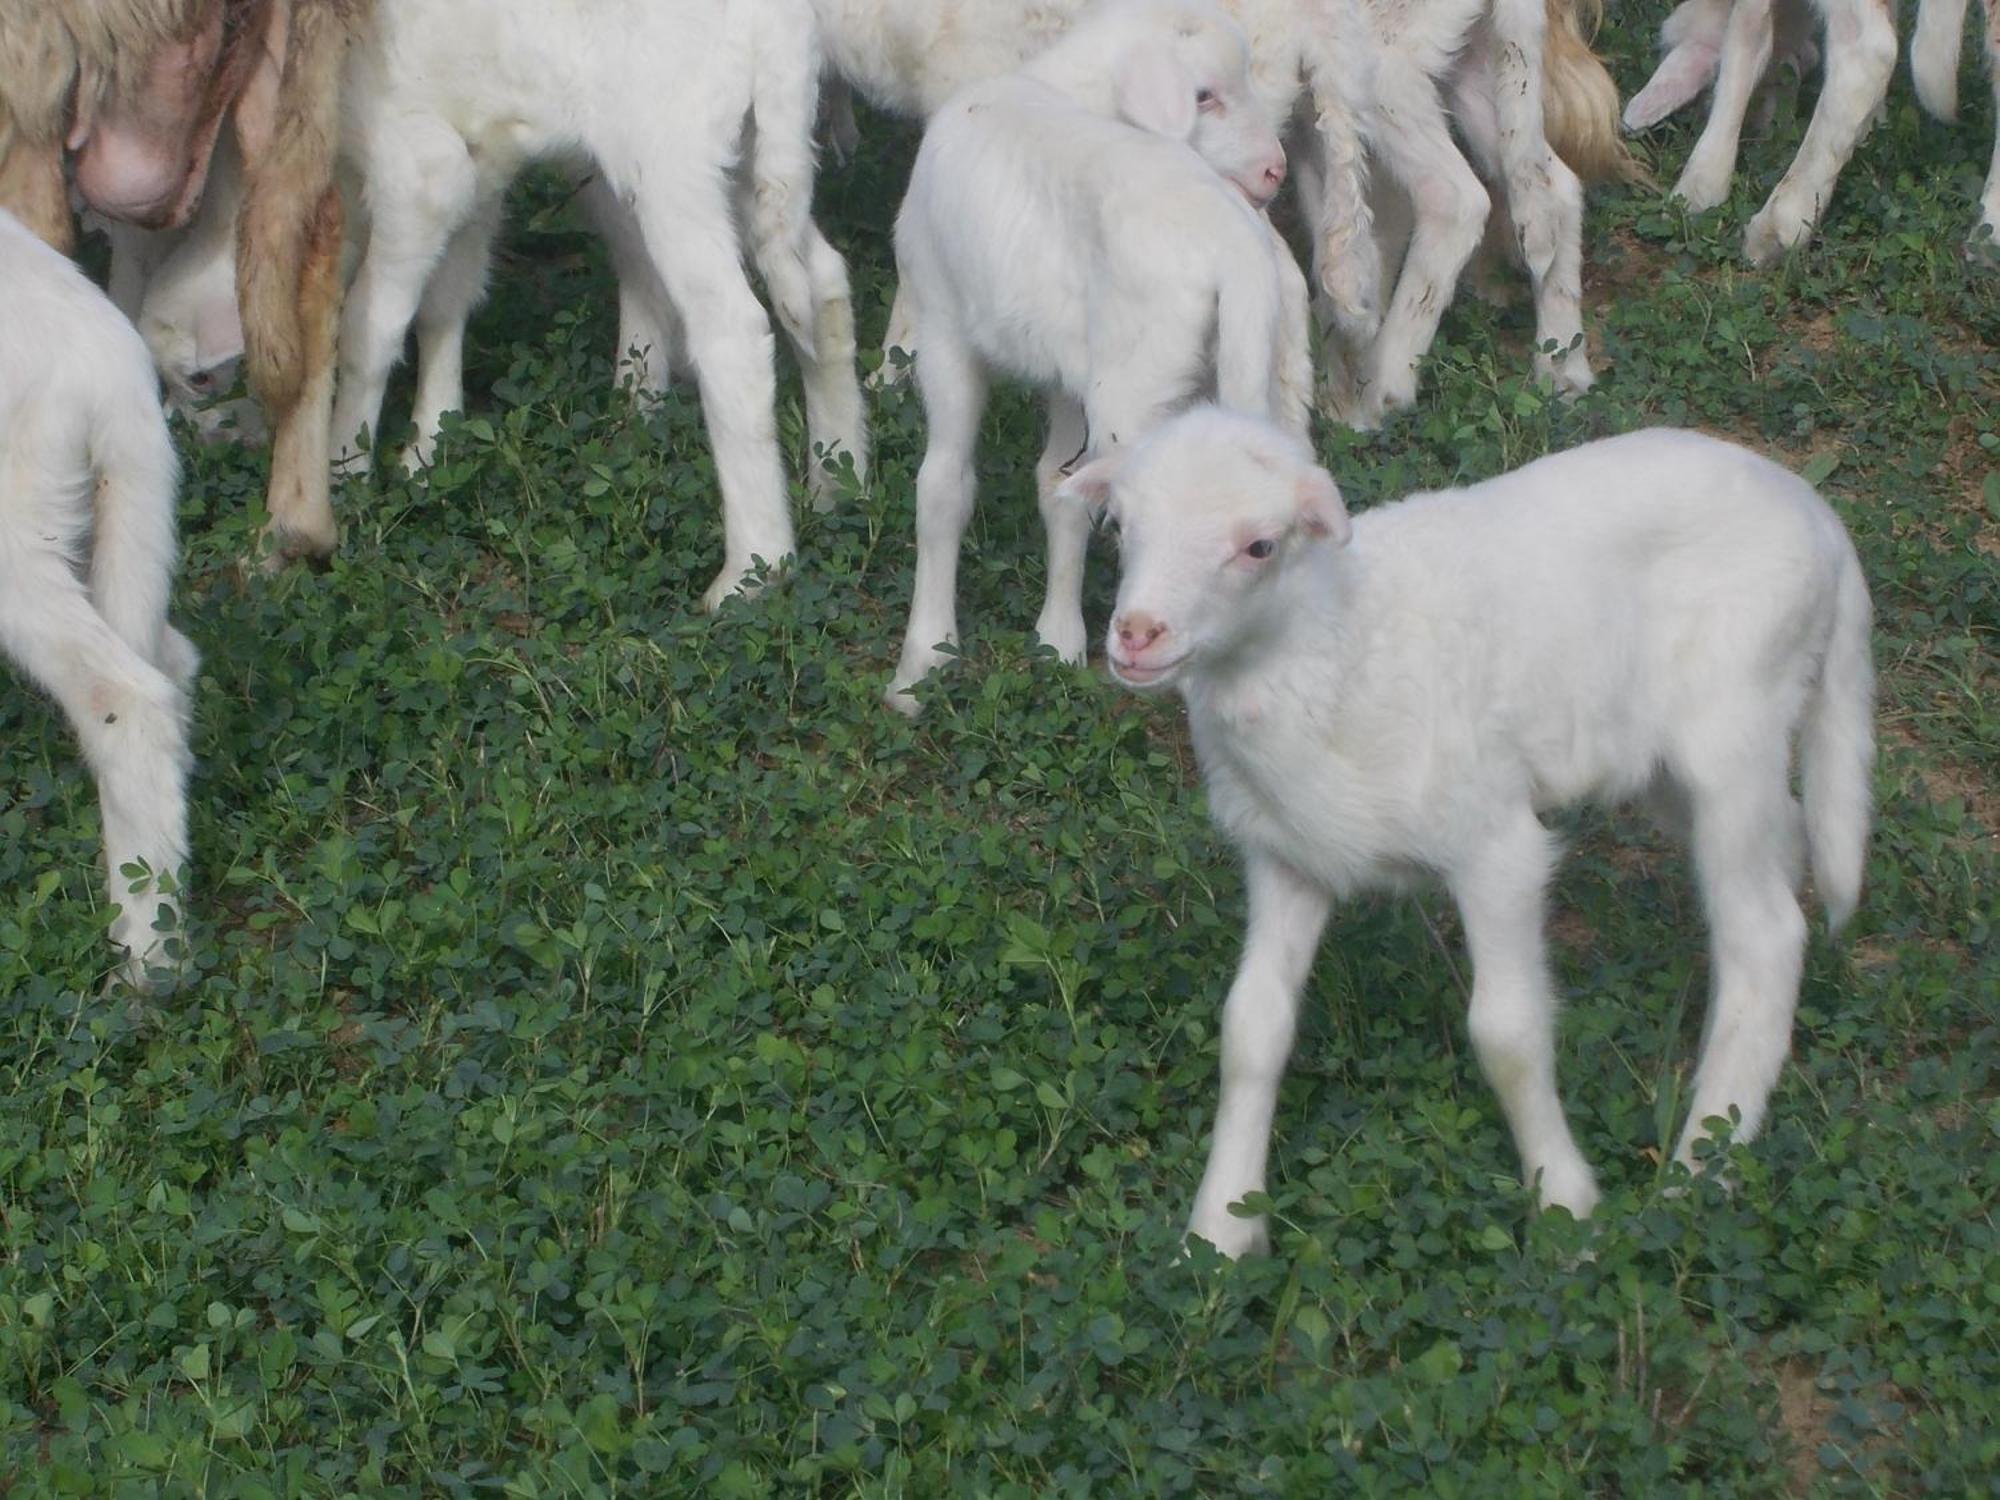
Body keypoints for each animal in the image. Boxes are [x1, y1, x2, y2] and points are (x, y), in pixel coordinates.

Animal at [892, 0, 1312, 712]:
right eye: (1205, 96)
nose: (1273, 172)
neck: (1057, 85)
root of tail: (1238, 255)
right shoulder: (1069, 366)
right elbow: (1058, 488)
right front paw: (1057, 638)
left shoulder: (944, 327)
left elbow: (943, 488)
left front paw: (922, 661)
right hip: (1269, 377)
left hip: (1137, 389)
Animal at [1064, 408, 1872, 1256]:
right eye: (1120, 526)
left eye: (1259, 546)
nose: (1137, 635)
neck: (1337, 649)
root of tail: (1820, 519)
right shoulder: (1289, 855)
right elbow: (1251, 1027)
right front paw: (1219, 1229)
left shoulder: (1495, 845)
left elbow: (1507, 1035)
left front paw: (1567, 1210)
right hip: (1665, 762)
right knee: (1782, 843)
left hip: (1735, 718)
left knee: (1765, 938)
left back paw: (1698, 1170)